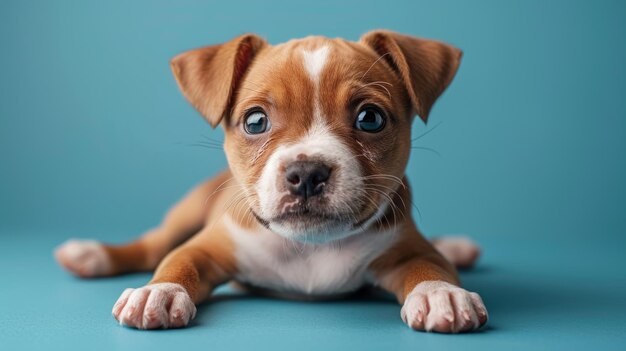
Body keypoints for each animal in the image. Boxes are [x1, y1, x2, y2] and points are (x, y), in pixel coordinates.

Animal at [56, 29, 486, 332]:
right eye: (255, 121)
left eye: (370, 118)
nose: (307, 173)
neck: (308, 248)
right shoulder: (209, 246)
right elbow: (178, 262)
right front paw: (158, 292)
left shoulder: (406, 248)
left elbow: (430, 264)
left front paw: (441, 294)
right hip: (185, 213)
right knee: (153, 246)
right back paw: (92, 255)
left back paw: (456, 247)